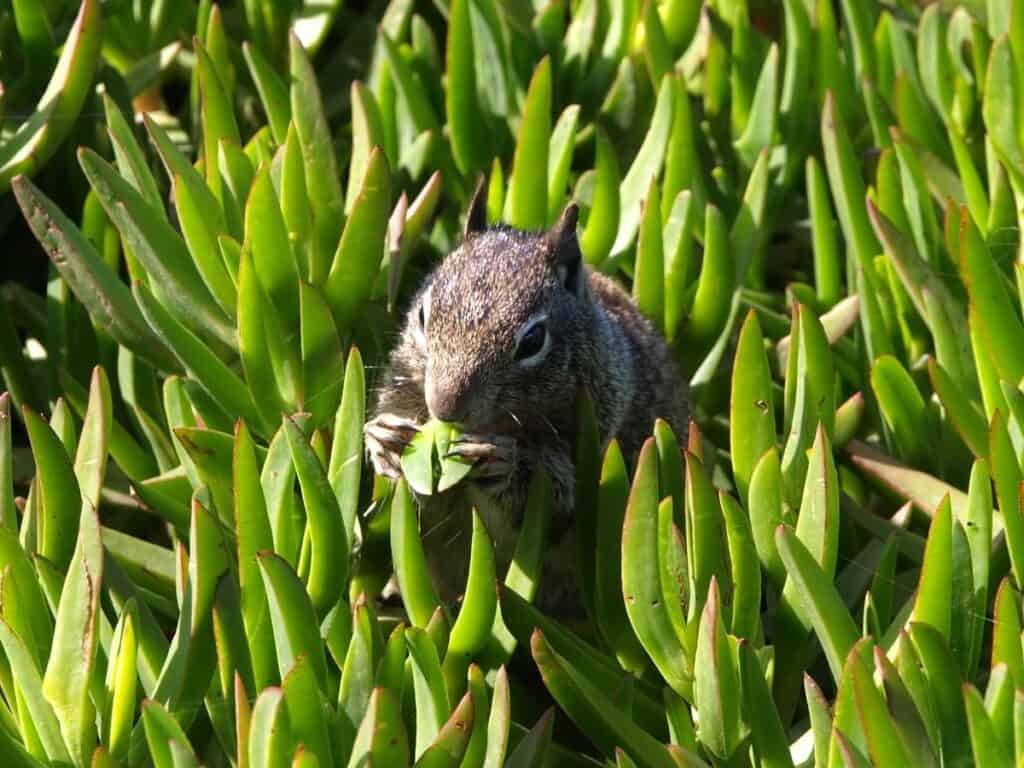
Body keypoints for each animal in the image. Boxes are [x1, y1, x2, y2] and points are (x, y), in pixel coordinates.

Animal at [364, 181, 690, 614]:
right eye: (421, 316)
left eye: (533, 340)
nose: (444, 406)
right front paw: (384, 439)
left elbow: (552, 505)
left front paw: (505, 461)